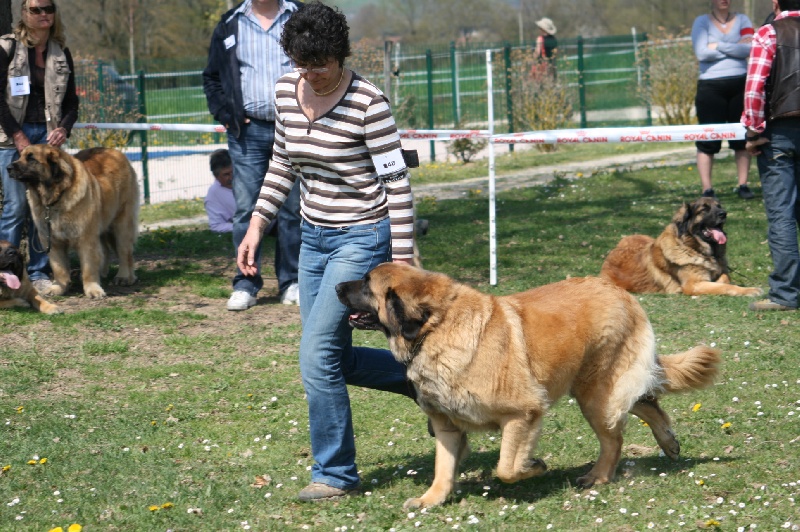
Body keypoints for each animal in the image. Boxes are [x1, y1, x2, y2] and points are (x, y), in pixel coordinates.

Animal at [7, 144, 139, 300]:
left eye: (31, 158)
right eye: (20, 156)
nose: (8, 167)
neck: (55, 197)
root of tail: (113, 151)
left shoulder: (86, 238)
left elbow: (88, 266)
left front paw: (92, 289)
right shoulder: (52, 241)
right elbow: (59, 268)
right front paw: (59, 287)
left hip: (121, 224)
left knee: (125, 252)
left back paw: (124, 277)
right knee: (106, 250)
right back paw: (103, 273)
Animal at [334, 264, 720, 510]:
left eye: (366, 283)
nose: (335, 286)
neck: (436, 328)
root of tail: (616, 290)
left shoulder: (522, 413)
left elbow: (506, 468)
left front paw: (534, 465)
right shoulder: (446, 425)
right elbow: (443, 469)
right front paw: (432, 499)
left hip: (596, 391)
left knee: (615, 436)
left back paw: (599, 476)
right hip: (592, 386)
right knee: (646, 401)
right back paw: (668, 442)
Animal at [600, 196, 764, 296]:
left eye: (718, 206)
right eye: (704, 209)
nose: (724, 213)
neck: (694, 248)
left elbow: (725, 278)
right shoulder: (693, 284)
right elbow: (726, 286)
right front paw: (749, 290)